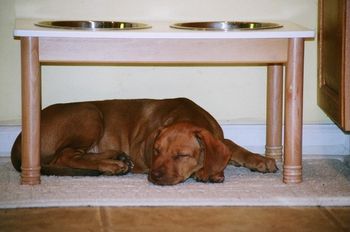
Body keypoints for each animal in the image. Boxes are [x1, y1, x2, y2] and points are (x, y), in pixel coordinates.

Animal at [10, 98, 278, 185]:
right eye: (156, 151)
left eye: (181, 155)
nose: (154, 177)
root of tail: (20, 139)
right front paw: (209, 172)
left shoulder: (218, 136)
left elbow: (231, 146)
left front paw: (260, 160)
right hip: (90, 113)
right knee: (64, 156)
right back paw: (111, 165)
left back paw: (116, 156)